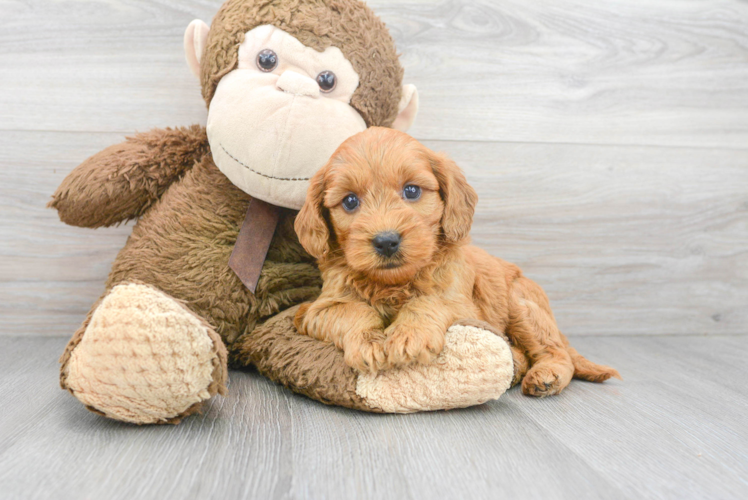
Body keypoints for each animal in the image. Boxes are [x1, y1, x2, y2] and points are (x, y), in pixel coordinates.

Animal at [292, 127, 620, 396]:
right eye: (350, 201)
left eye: (411, 190)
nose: (386, 241)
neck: (394, 283)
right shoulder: (318, 308)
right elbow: (352, 311)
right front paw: (369, 343)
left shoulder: (462, 302)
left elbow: (428, 302)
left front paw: (409, 335)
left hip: (521, 305)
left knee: (556, 353)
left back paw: (547, 376)